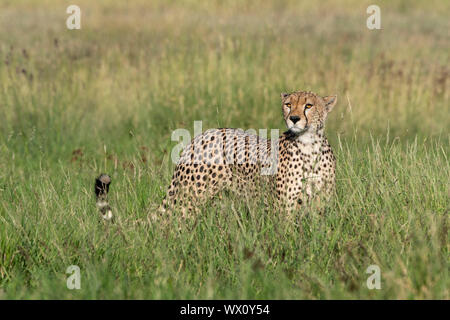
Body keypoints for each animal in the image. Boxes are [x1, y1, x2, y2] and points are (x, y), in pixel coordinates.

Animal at [162, 91, 338, 214]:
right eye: (288, 104)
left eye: (308, 106)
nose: (294, 118)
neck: (309, 145)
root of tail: (202, 134)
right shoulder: (283, 209)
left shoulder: (321, 205)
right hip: (189, 197)